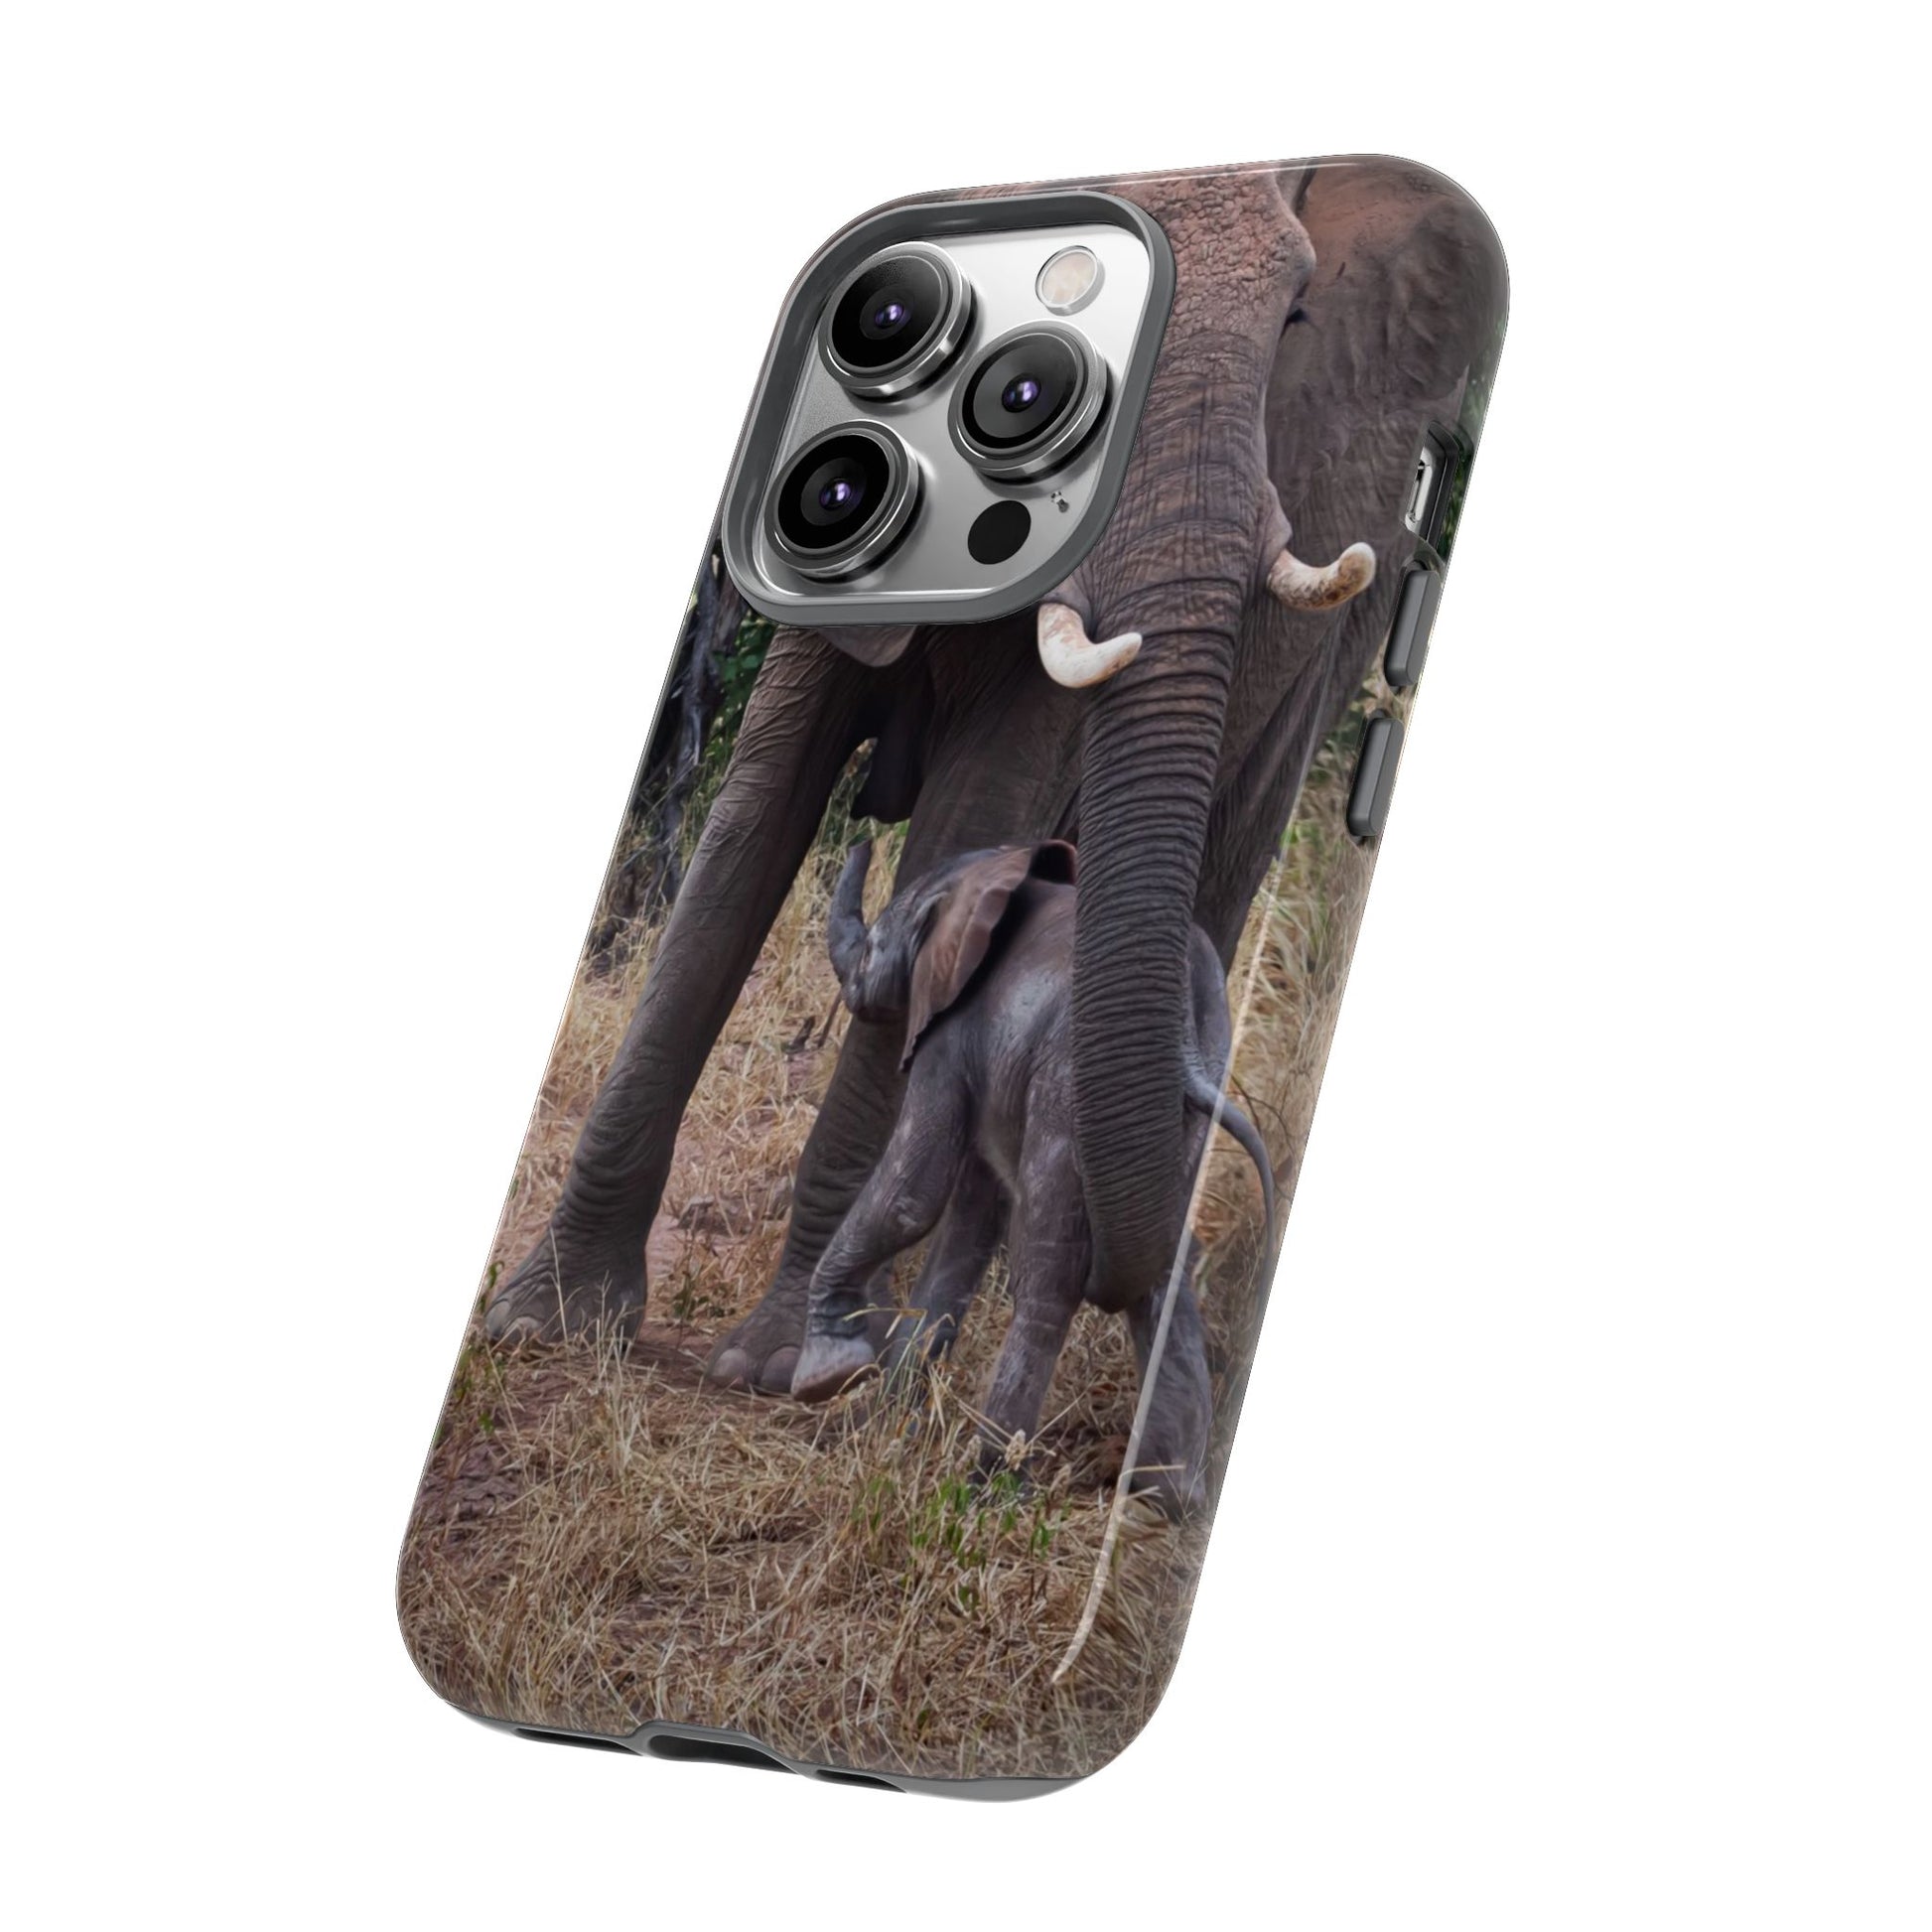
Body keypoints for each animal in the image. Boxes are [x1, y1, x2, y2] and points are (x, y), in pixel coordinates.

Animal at [789, 837, 1278, 1514]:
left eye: (876, 942)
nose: (861, 836)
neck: (989, 873)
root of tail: (1185, 1030)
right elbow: (967, 1225)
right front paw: (886, 1424)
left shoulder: (952, 1034)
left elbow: (913, 1194)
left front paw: (827, 1373)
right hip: (1174, 1119)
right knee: (1164, 1276)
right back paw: (1166, 1496)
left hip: (1070, 1088)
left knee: (1050, 1273)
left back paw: (988, 1484)